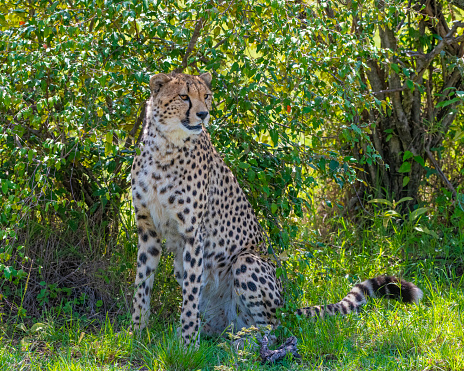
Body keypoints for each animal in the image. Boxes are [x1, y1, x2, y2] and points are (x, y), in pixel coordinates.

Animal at [130, 72, 420, 348]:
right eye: (184, 97)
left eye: (207, 96)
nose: (203, 114)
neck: (165, 146)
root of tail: (286, 308)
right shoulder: (148, 229)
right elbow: (142, 285)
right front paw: (136, 334)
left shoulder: (192, 233)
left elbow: (189, 296)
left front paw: (188, 345)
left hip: (247, 261)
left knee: (273, 327)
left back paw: (242, 344)